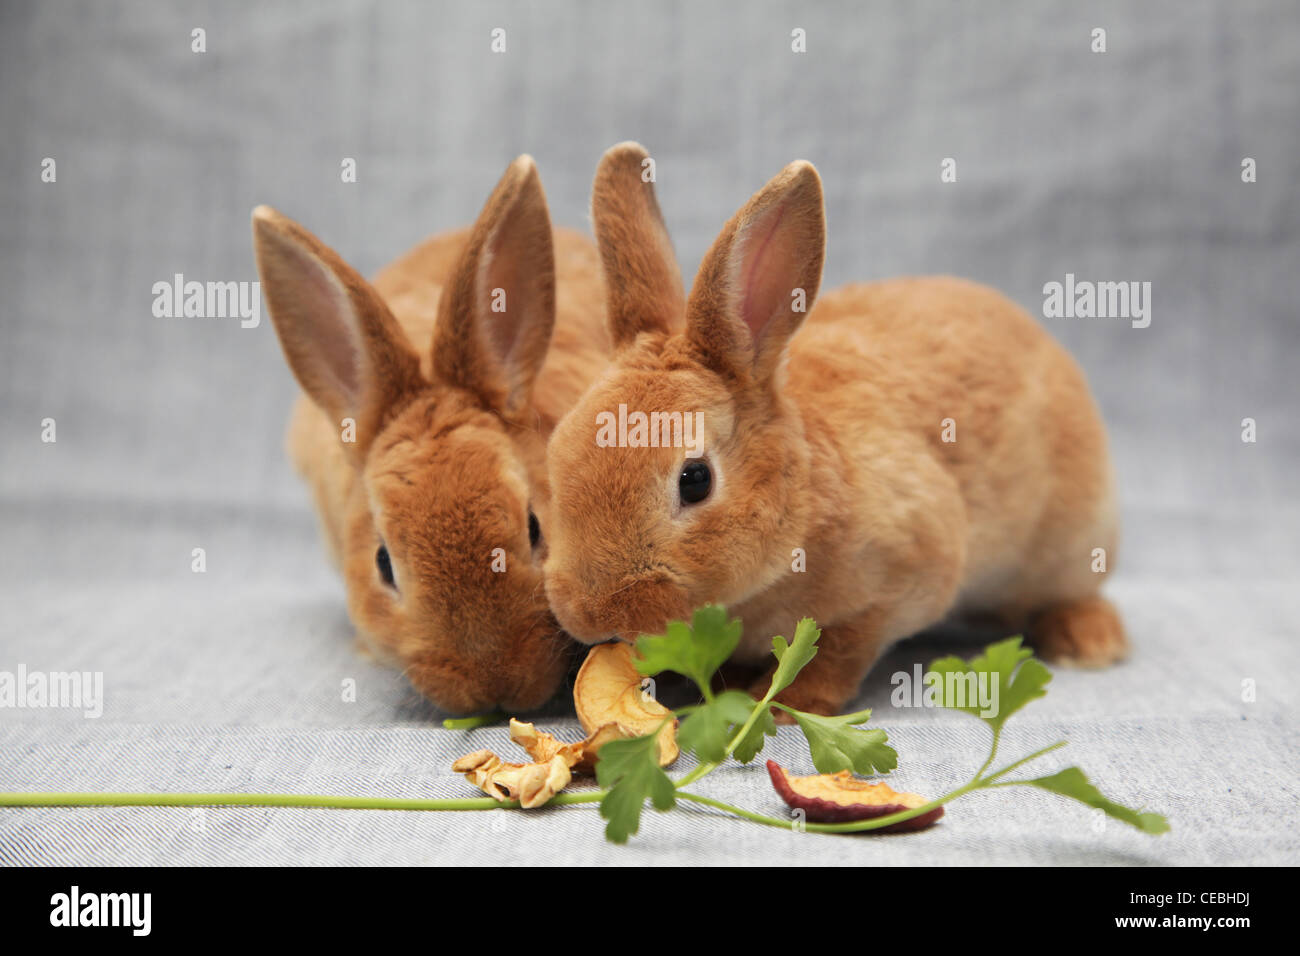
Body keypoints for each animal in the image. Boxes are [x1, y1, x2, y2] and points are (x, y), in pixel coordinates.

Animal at [541, 142, 1128, 718]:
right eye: (557, 452)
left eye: (695, 480)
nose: (592, 614)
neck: (802, 499)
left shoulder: (899, 580)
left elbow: (839, 650)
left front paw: (784, 702)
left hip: (1072, 542)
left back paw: (1090, 644)